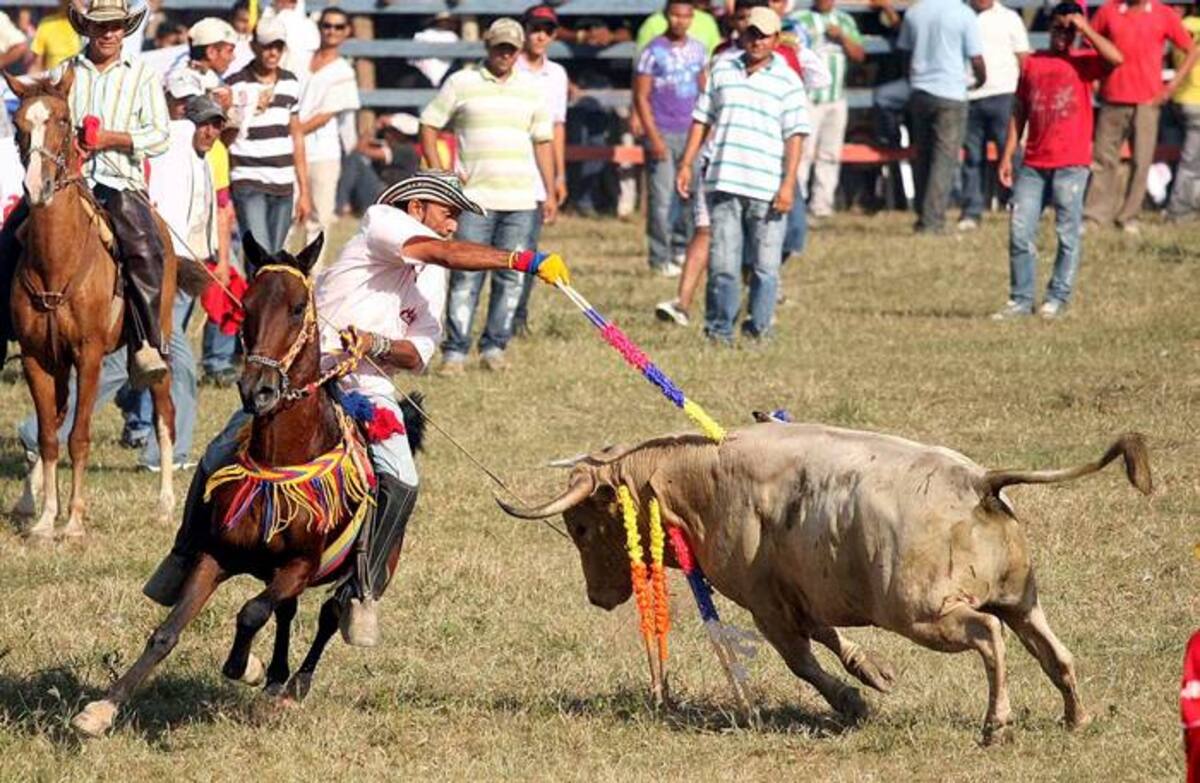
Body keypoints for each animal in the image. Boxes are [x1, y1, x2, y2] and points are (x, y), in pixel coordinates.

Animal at [3, 69, 178, 539]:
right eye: (19, 125)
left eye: (65, 121)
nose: (36, 186)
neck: (56, 260)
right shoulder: (38, 358)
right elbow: (49, 436)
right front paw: (47, 519)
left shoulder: (90, 355)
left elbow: (78, 437)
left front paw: (75, 521)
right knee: (55, 419)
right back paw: (31, 501)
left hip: (159, 338)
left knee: (165, 413)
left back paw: (165, 504)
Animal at [71, 234, 422, 736]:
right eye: (246, 306)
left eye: (297, 308)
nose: (258, 390)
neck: (283, 459)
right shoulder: (214, 556)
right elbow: (167, 632)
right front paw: (103, 708)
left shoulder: (299, 565)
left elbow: (252, 612)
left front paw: (247, 667)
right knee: (288, 612)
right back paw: (277, 676)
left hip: (368, 568)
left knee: (328, 613)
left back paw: (295, 684)